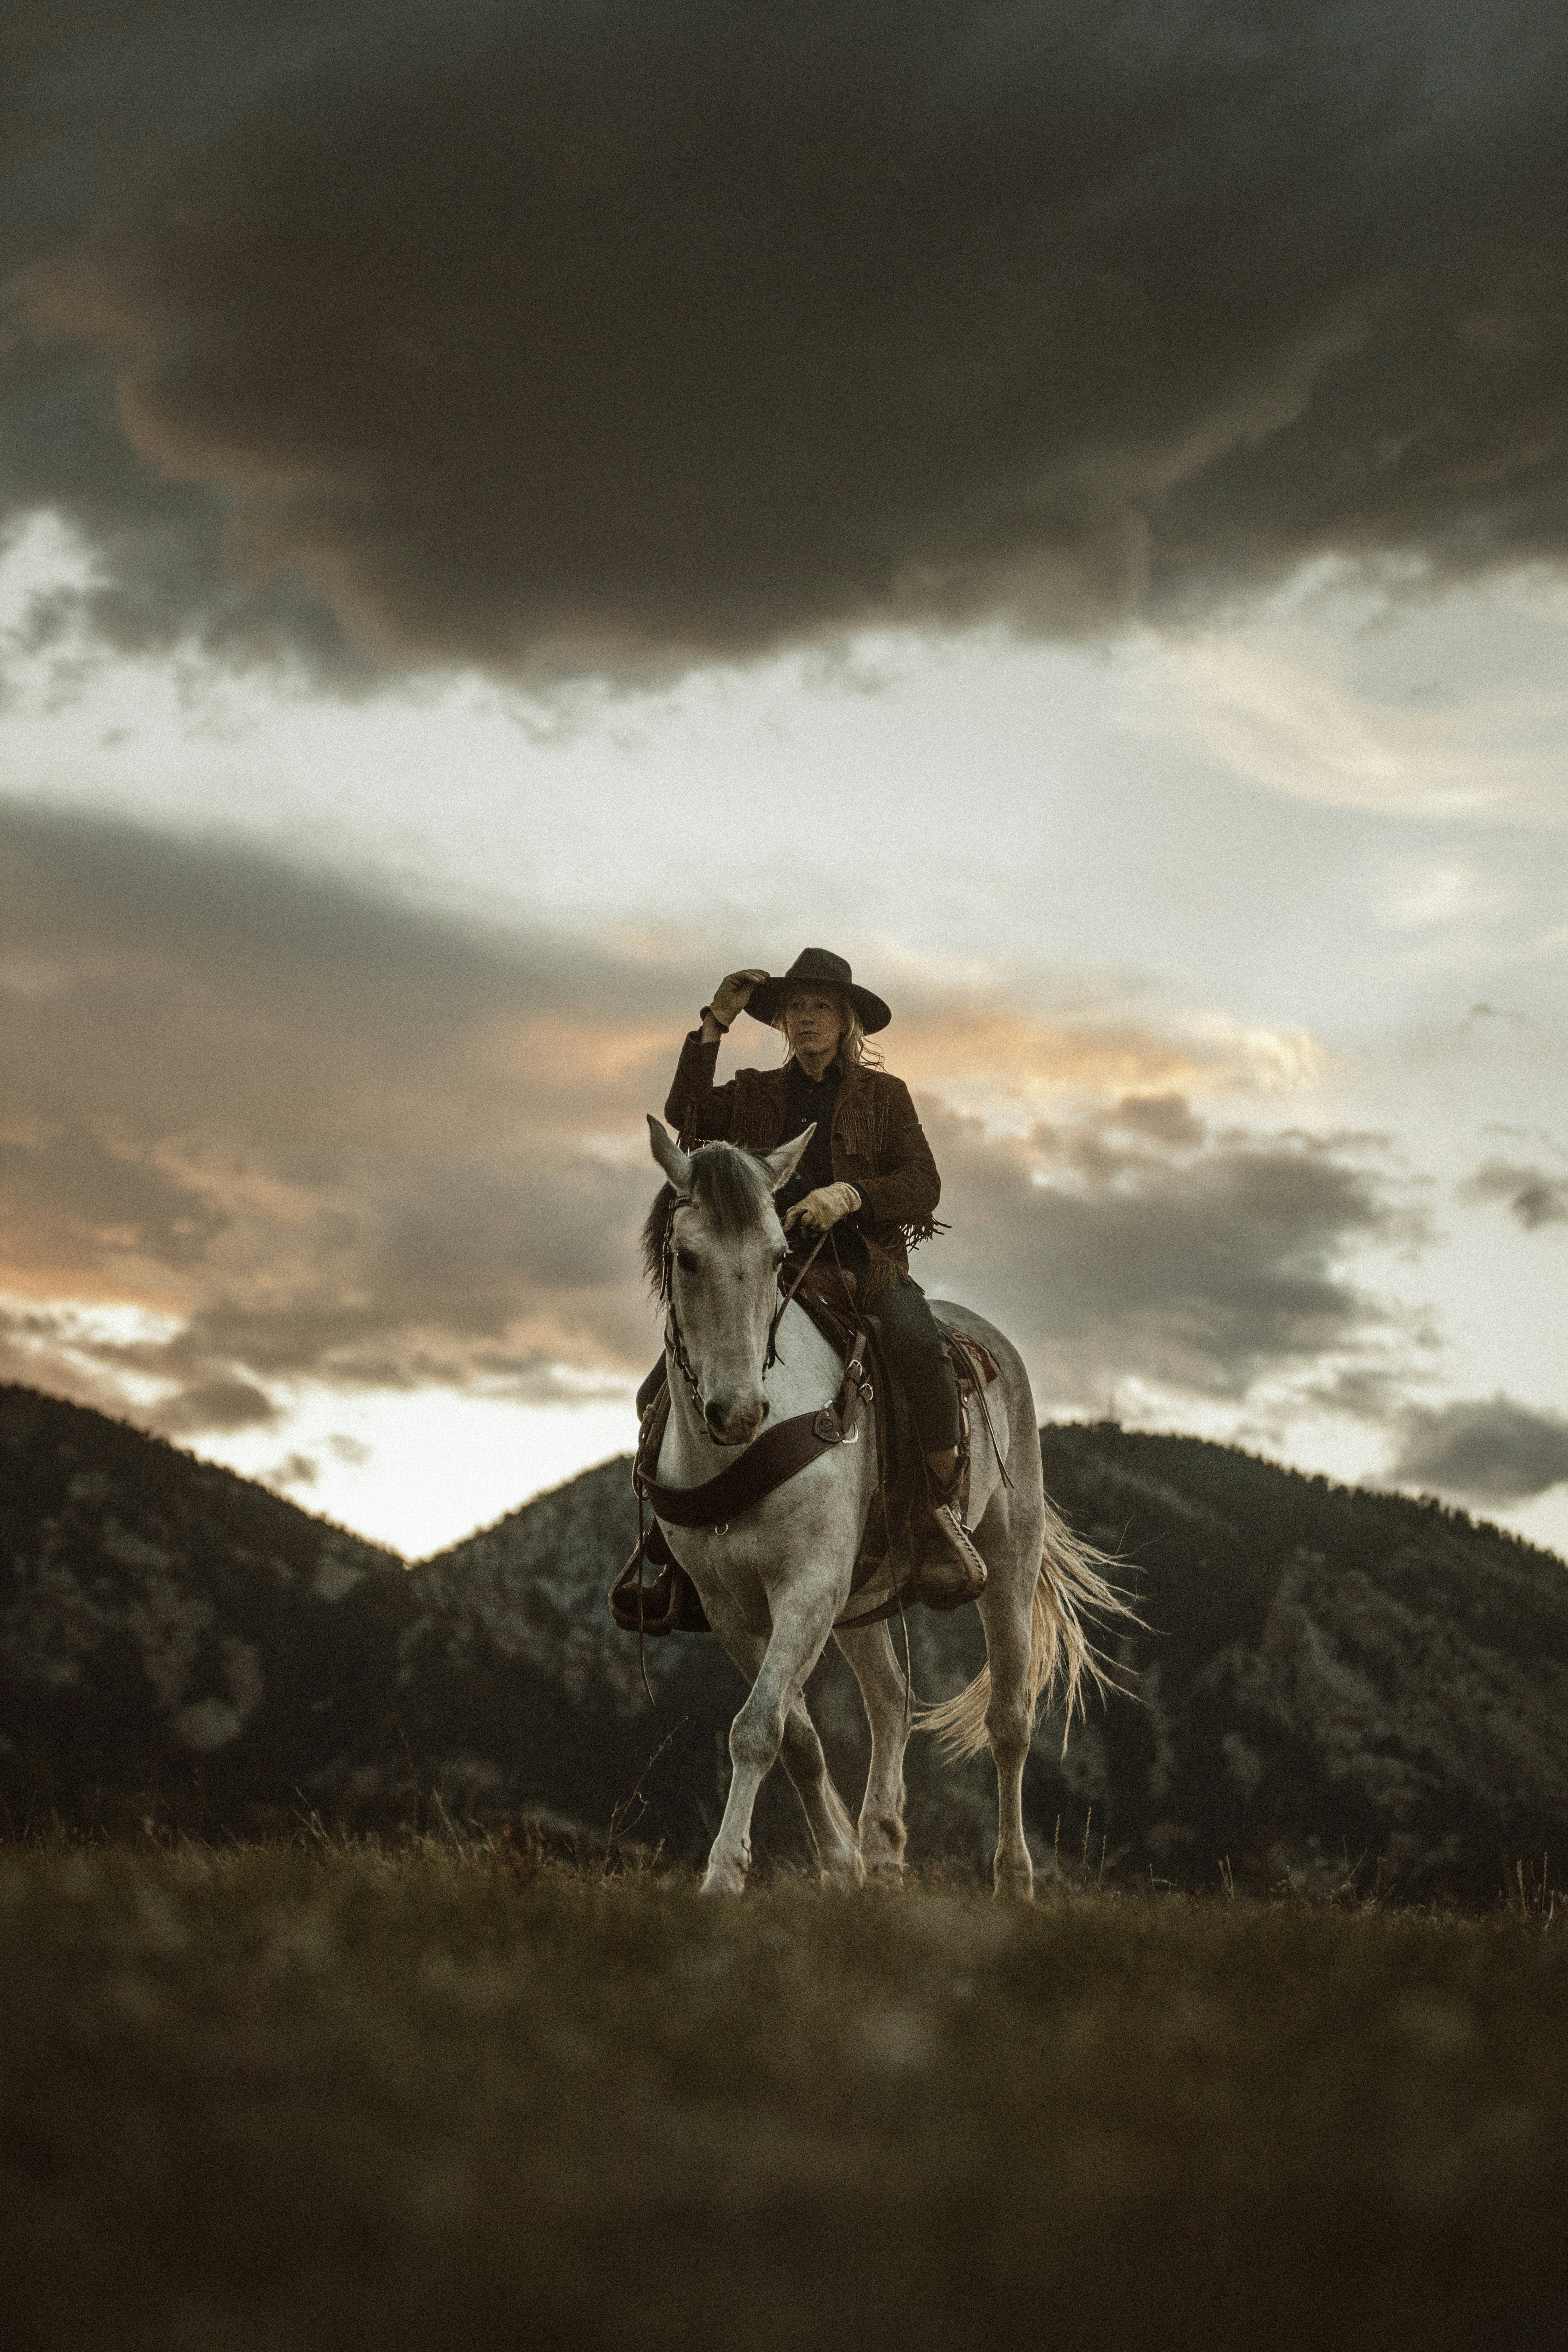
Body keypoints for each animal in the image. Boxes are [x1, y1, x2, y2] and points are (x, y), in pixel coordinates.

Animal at [643, 1115, 1127, 1897]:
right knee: (892, 1700)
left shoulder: (808, 1587)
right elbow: (796, 1735)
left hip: (1008, 1557)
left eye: (779, 1257)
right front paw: (840, 1865)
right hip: (862, 1597)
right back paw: (883, 1849)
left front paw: (722, 1875)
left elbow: (757, 1728)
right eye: (686, 1258)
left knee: (1009, 1720)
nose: (739, 1412)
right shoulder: (731, 1607)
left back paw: (1013, 1878)